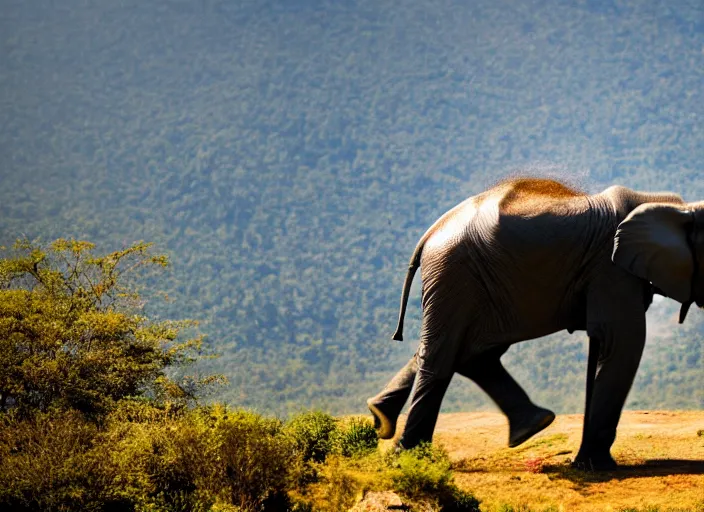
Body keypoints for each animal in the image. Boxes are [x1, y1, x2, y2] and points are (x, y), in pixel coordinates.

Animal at [368, 177, 700, 472]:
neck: (673, 205)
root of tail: (431, 232)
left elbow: (604, 341)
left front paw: (585, 464)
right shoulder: (612, 269)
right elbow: (622, 340)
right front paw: (598, 466)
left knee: (469, 351)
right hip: (456, 274)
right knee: (446, 354)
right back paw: (407, 457)